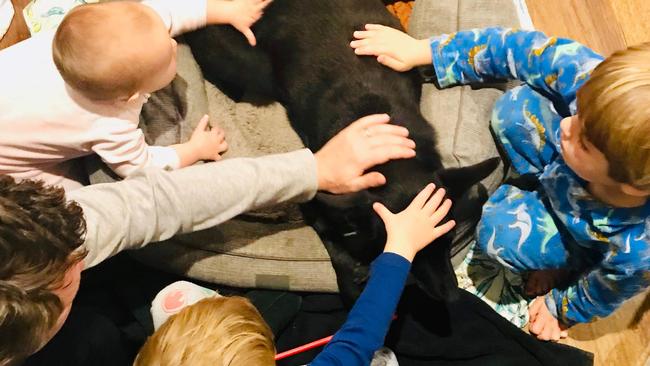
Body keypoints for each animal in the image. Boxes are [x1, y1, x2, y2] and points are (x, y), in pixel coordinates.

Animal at [184, 0, 496, 304]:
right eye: (414, 250)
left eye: (448, 239)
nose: (454, 296)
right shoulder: (316, 204)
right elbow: (336, 246)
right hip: (252, 70)